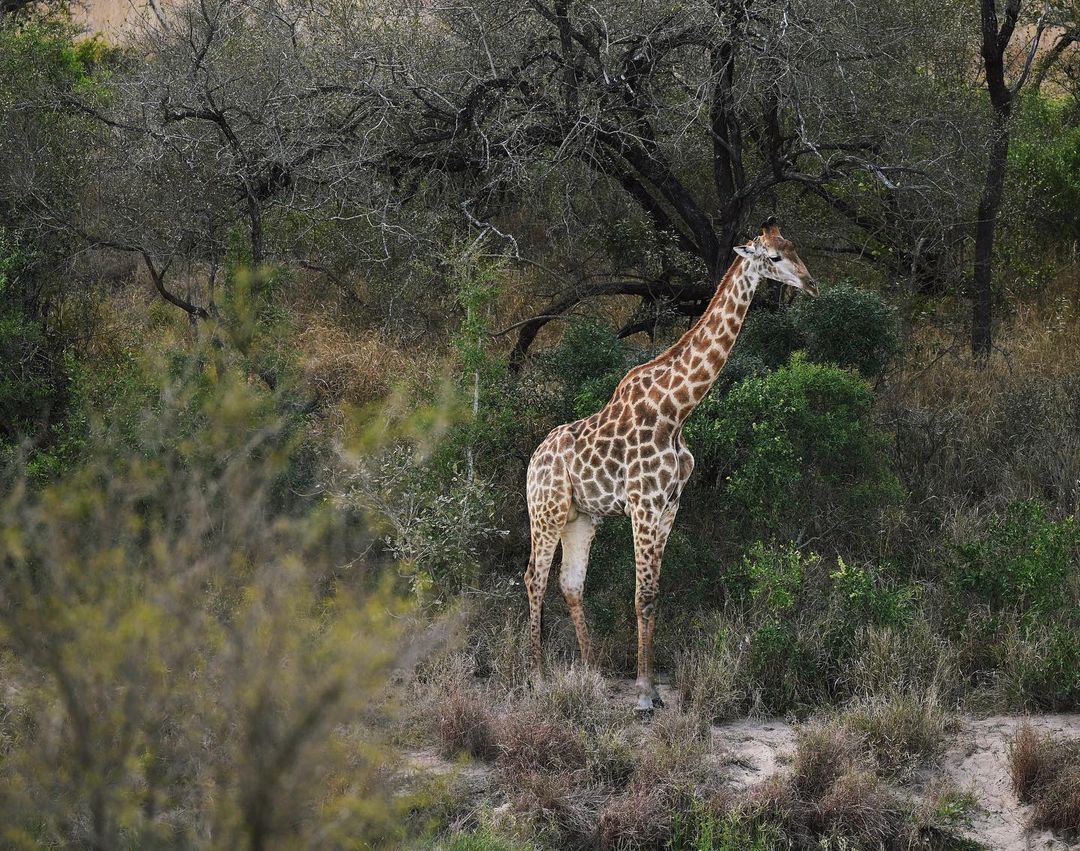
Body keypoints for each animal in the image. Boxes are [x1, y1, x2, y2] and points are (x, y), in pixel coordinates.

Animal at [524, 218, 816, 712]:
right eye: (775, 257)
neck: (676, 411)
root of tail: (531, 463)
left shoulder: (669, 507)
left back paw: (591, 673)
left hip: (581, 518)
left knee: (570, 582)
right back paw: (539, 679)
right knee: (534, 579)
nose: (811, 284)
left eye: (795, 247)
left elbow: (654, 595)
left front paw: (653, 690)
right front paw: (644, 694)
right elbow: (641, 594)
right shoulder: (643, 505)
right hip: (546, 512)